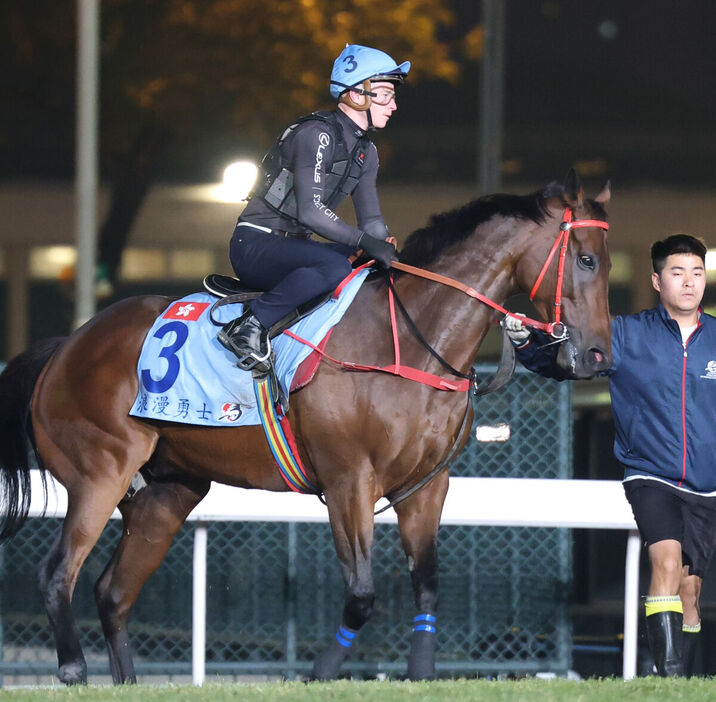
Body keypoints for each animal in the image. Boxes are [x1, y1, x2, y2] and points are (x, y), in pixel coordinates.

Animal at [0, 172, 608, 688]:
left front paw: (420, 672)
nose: (597, 356)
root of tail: (67, 345)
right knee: (58, 573)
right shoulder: (348, 482)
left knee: (113, 592)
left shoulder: (427, 488)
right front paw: (320, 673)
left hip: (167, 493)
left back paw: (126, 682)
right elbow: (361, 594)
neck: (409, 343)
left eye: (601, 261)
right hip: (99, 472)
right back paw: (74, 669)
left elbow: (427, 585)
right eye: (584, 259)